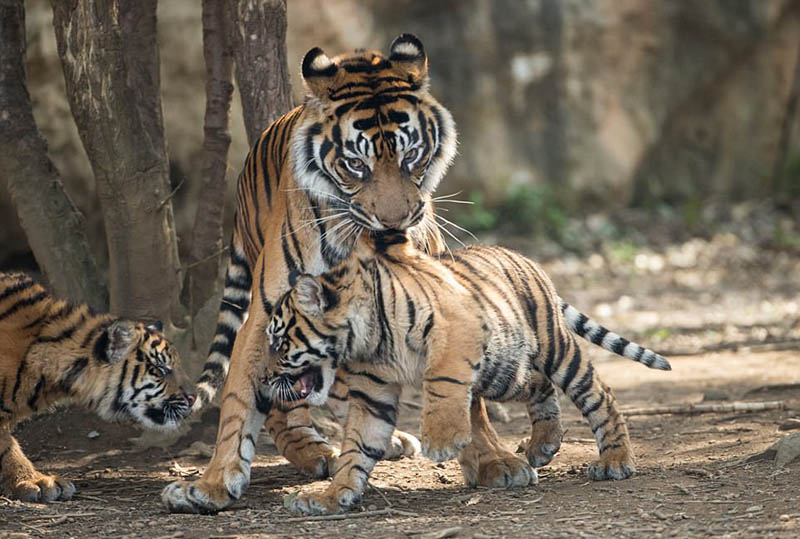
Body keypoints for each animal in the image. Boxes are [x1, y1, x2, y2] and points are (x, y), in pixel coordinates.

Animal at [162, 33, 552, 516]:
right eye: (356, 165)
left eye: (411, 156)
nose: (395, 221)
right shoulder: (268, 313)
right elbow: (239, 398)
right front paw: (212, 484)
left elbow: (468, 395)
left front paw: (493, 461)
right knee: (284, 398)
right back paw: (316, 451)